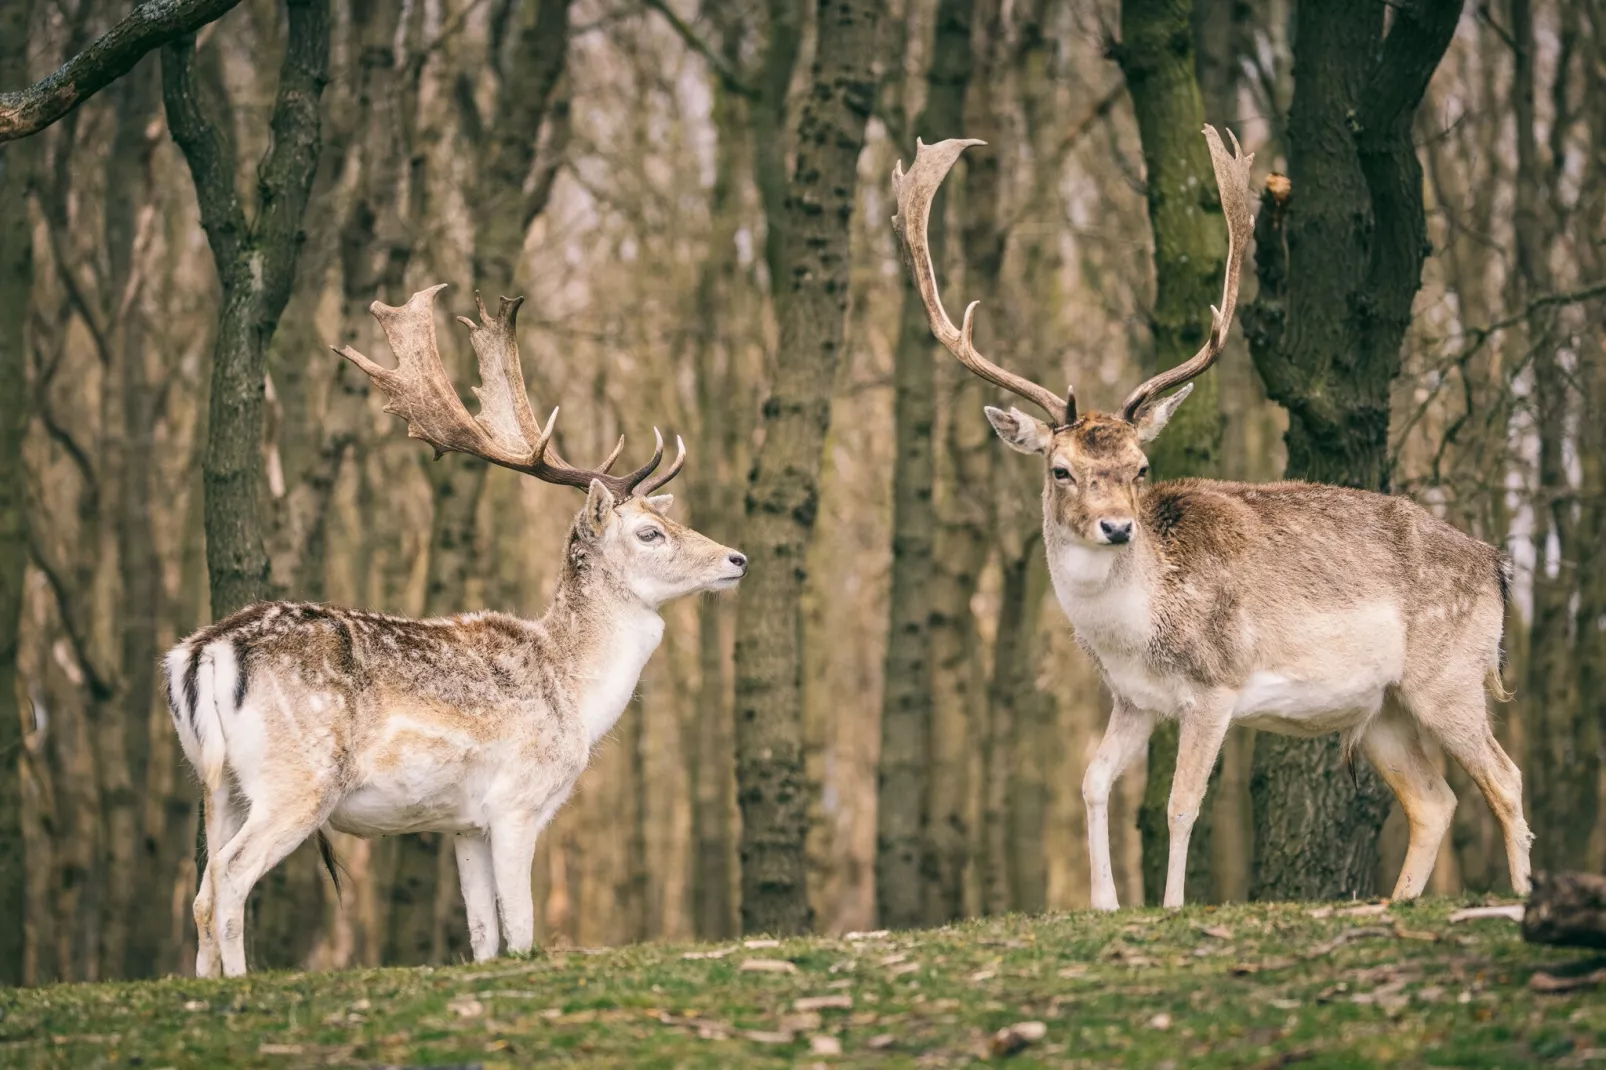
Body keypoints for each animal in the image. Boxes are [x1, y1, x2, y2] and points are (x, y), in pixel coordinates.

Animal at [163, 285, 745, 976]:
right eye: (650, 533)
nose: (737, 558)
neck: (575, 698)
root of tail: (203, 652)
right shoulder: (517, 803)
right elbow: (520, 929)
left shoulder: (462, 824)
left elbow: (482, 935)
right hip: (296, 779)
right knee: (230, 878)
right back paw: (243, 983)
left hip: (217, 781)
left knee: (200, 892)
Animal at [892, 125, 1528, 906]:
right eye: (1059, 468)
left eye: (1140, 467)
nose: (1117, 526)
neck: (1136, 631)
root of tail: (1497, 564)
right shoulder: (1134, 699)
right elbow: (1092, 781)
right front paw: (1104, 903)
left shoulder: (1215, 688)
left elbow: (1180, 803)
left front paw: (1168, 905)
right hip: (1384, 709)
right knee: (1435, 800)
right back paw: (1401, 900)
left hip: (1451, 676)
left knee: (1505, 778)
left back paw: (1522, 894)